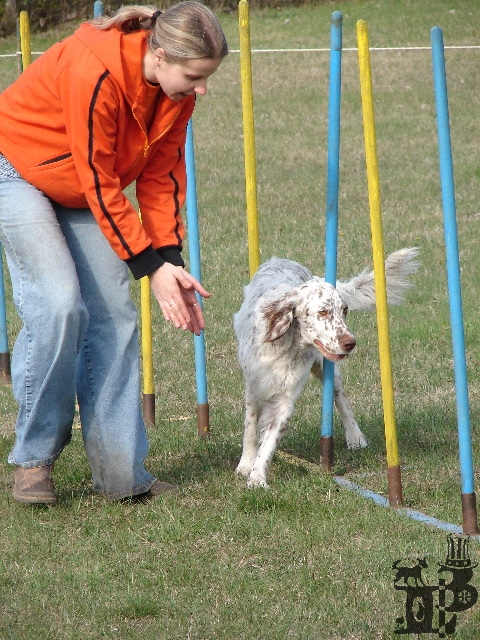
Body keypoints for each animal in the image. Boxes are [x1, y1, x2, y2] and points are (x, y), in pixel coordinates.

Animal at [234, 248, 418, 488]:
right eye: (322, 312)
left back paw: (355, 437)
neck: (285, 346)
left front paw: (257, 478)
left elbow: (269, 441)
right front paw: (246, 465)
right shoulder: (254, 386)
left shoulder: (286, 399)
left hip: (326, 368)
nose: (350, 343)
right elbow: (250, 428)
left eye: (344, 310)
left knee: (341, 399)